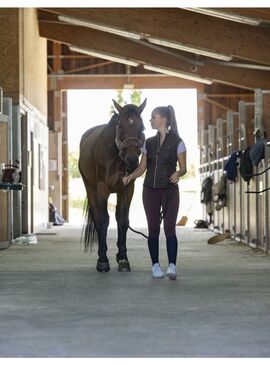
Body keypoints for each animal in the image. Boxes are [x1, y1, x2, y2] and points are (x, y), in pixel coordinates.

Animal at [78, 98, 147, 272]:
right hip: (90, 188)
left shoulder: (127, 188)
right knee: (97, 219)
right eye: (121, 126)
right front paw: (103, 261)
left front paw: (123, 259)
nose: (132, 159)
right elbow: (103, 220)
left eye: (141, 127)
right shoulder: (102, 188)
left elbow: (122, 220)